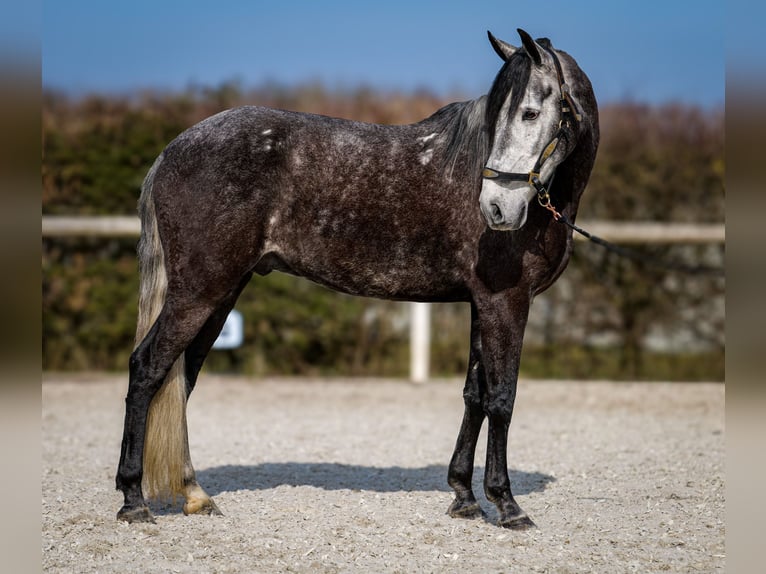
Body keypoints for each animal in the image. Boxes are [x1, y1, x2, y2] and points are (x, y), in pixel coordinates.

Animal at [118, 27, 600, 532]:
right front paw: (506, 504)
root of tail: (174, 149)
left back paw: (194, 493)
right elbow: (502, 399)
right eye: (508, 114)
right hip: (198, 292)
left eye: (529, 113)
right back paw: (134, 500)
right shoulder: (506, 302)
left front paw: (465, 497)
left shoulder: (481, 303)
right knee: (147, 368)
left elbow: (475, 395)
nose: (496, 209)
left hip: (220, 294)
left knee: (181, 379)